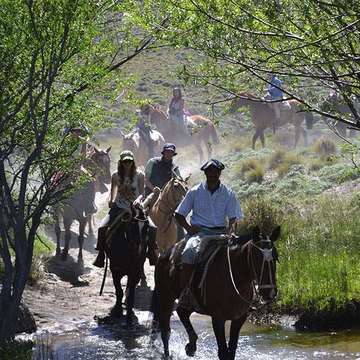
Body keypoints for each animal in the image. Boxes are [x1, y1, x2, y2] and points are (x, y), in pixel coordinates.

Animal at [152, 226, 282, 358]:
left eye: (276, 257)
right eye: (257, 258)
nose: (270, 292)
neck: (235, 278)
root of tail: (165, 253)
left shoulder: (239, 319)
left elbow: (231, 351)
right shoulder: (218, 319)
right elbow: (223, 352)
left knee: (182, 312)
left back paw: (191, 346)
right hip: (165, 296)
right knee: (165, 330)